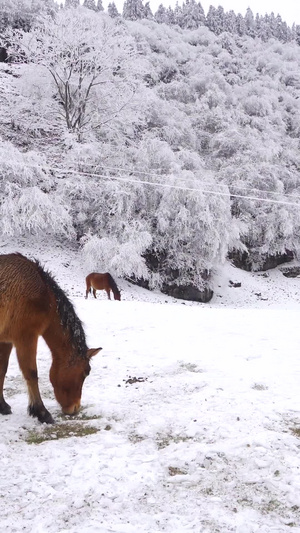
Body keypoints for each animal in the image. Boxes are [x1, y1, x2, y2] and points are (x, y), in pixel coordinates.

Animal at [0, 254, 101, 424]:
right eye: (86, 372)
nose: (75, 408)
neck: (44, 295)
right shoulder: (26, 338)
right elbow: (31, 373)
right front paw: (41, 412)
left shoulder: (6, 340)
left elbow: (2, 369)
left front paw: (2, 405)